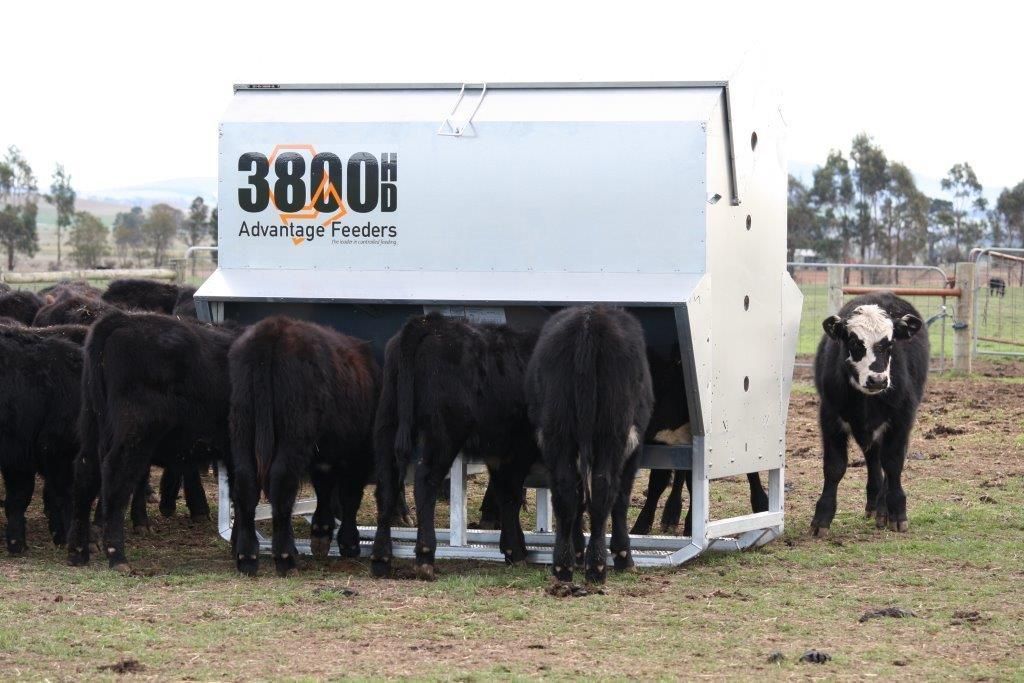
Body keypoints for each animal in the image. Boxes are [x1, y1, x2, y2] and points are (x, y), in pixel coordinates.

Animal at [66, 311, 240, 571]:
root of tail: (123, 319)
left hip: (92, 425)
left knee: (86, 473)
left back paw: (78, 552)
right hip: (136, 433)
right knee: (117, 477)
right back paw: (117, 555)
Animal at [229, 317, 379, 576]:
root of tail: (273, 330)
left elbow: (324, 486)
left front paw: (322, 530)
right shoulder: (358, 453)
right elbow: (350, 495)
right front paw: (349, 542)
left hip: (243, 430)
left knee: (246, 484)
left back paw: (247, 557)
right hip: (294, 436)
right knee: (281, 485)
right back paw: (285, 557)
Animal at [370, 313, 540, 580]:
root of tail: (430, 323)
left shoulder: (500, 451)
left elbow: (504, 494)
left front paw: (513, 548)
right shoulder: (519, 449)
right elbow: (511, 495)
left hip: (388, 424)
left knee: (386, 485)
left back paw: (381, 558)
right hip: (443, 435)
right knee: (425, 482)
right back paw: (425, 557)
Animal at [526, 306, 654, 585]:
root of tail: (589, 321)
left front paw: (576, 550)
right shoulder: (634, 447)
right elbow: (621, 498)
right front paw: (621, 555)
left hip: (557, 432)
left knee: (566, 491)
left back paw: (563, 566)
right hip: (612, 434)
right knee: (604, 487)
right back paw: (598, 566)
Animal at [811, 292, 928, 537]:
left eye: (889, 343)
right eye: (855, 342)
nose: (877, 380)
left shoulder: (901, 420)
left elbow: (893, 464)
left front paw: (897, 513)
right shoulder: (829, 417)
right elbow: (834, 467)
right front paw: (822, 517)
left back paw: (883, 510)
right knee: (874, 459)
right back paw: (875, 505)